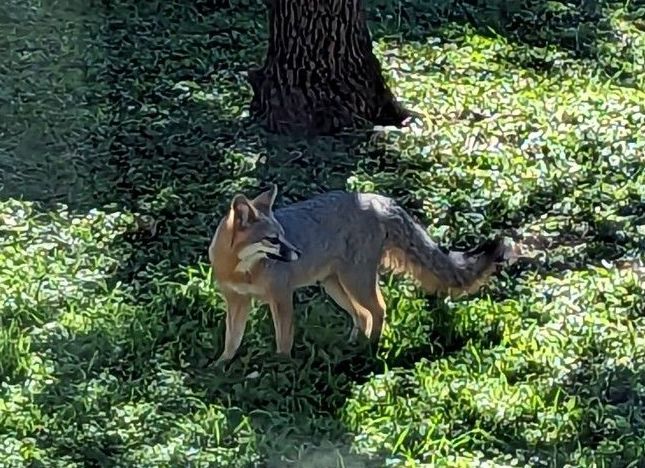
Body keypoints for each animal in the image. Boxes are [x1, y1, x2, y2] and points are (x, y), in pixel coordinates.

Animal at [208, 184, 515, 364]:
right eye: (273, 239)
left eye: (282, 235)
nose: (297, 253)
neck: (242, 271)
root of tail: (376, 199)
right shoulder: (237, 301)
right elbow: (232, 338)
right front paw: (222, 365)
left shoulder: (281, 297)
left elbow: (284, 339)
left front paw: (281, 367)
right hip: (336, 286)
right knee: (362, 315)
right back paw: (355, 345)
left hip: (354, 282)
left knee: (378, 310)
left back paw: (371, 347)